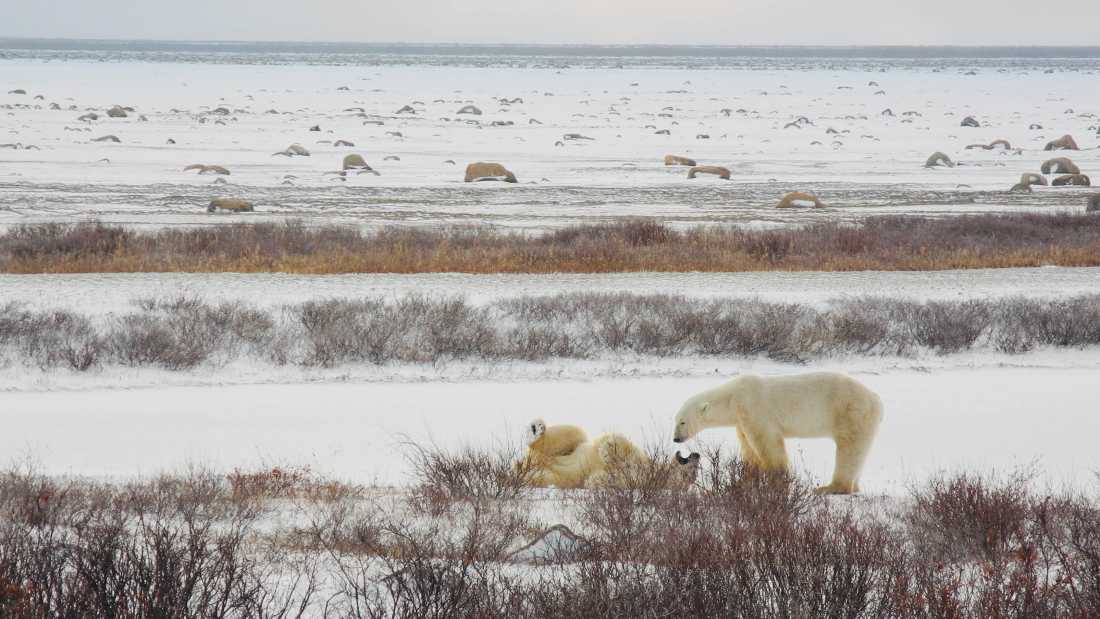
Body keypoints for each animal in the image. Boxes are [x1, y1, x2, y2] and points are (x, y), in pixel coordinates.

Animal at [672, 372, 883, 495]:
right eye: (675, 420)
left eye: (682, 421)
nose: (676, 438)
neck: (732, 397)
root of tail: (876, 399)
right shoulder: (741, 420)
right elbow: (748, 446)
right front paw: (747, 476)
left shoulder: (753, 407)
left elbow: (767, 442)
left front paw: (777, 480)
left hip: (850, 412)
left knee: (849, 449)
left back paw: (830, 488)